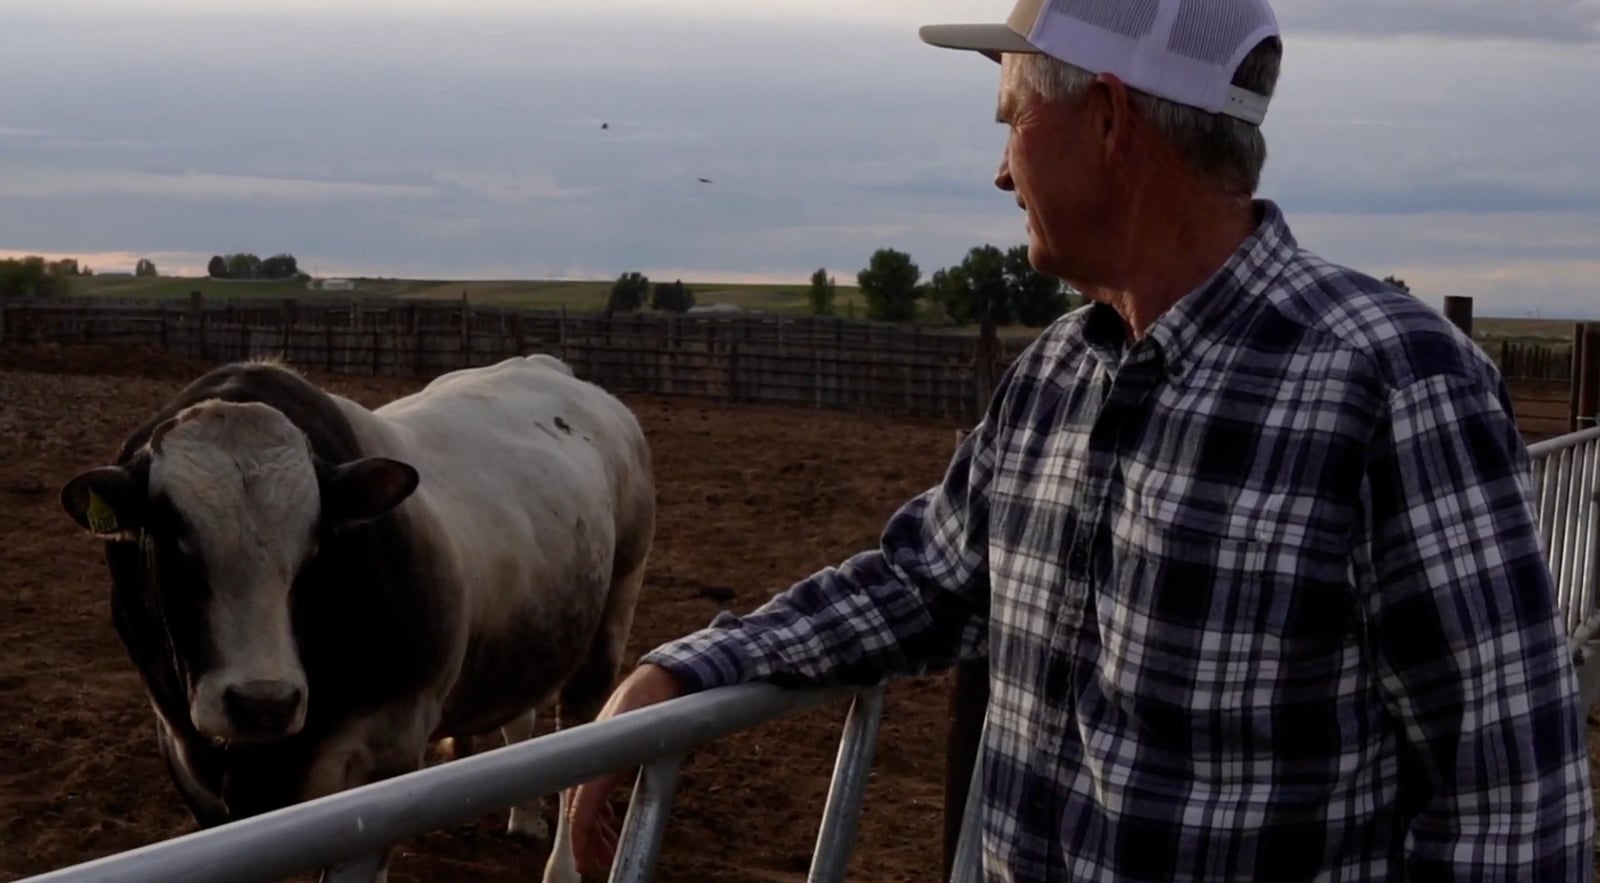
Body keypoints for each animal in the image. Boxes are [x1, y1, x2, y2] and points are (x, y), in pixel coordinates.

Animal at [58, 353, 656, 883]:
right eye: (171, 535)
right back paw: (523, 816)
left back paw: (562, 867)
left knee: (579, 743)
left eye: (317, 540)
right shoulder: (186, 753)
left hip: (615, 611)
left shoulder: (386, 755)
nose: (262, 703)